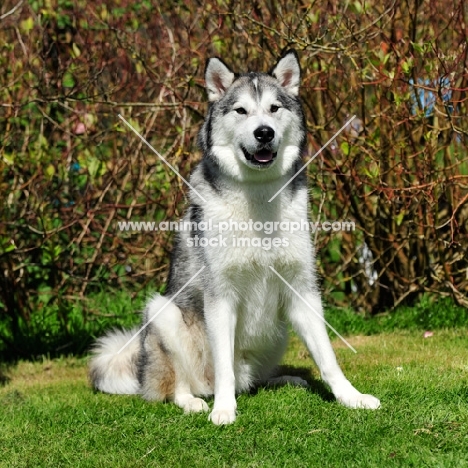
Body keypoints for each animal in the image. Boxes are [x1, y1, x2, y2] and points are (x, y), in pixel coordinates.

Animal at [89, 50, 382, 424]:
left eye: (274, 108)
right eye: (241, 110)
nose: (264, 133)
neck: (258, 198)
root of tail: (142, 371)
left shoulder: (301, 289)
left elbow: (328, 357)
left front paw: (351, 397)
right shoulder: (220, 296)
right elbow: (223, 366)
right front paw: (224, 410)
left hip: (276, 335)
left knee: (251, 379)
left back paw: (284, 379)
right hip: (163, 313)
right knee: (183, 385)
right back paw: (196, 401)